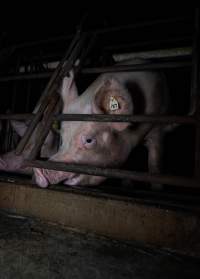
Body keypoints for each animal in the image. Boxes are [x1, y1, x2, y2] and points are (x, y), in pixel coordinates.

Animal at [33, 64, 169, 188]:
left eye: (89, 140)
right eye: (62, 139)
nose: (40, 171)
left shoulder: (157, 128)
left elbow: (154, 164)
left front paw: (156, 189)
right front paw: (127, 185)